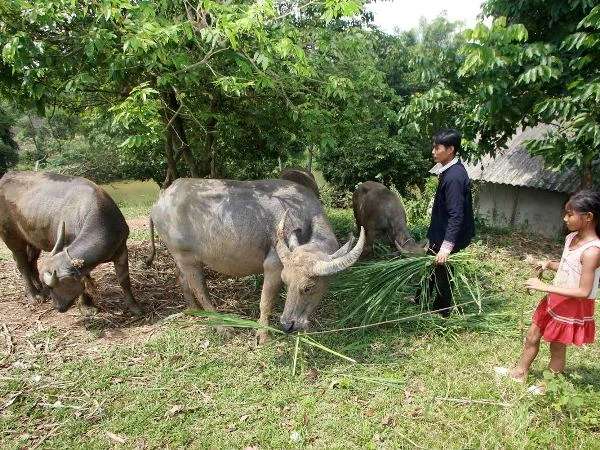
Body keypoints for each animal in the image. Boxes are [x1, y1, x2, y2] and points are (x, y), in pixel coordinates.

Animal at [0, 172, 144, 316]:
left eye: (52, 287)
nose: (57, 307)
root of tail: (6, 176)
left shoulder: (122, 249)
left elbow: (123, 279)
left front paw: (135, 307)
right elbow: (85, 280)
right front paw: (86, 307)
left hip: (33, 240)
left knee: (31, 261)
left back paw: (40, 290)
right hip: (10, 237)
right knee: (22, 265)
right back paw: (33, 296)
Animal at [149, 178, 366, 342]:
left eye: (308, 288)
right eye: (286, 281)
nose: (288, 325)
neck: (304, 217)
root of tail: (161, 200)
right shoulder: (273, 267)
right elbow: (266, 302)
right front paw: (263, 337)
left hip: (180, 260)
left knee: (182, 280)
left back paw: (195, 313)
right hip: (187, 259)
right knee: (199, 290)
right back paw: (221, 326)